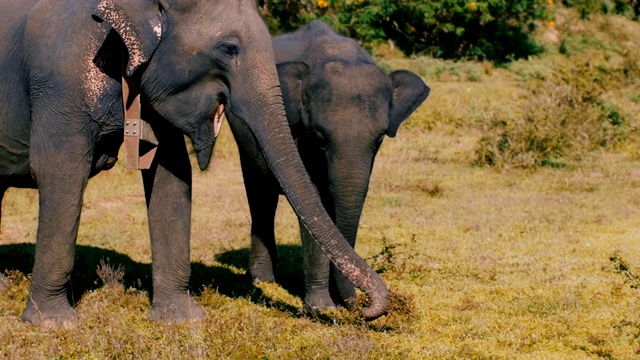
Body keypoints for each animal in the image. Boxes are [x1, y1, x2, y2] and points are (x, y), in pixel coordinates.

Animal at [0, 1, 390, 326]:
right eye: (229, 48)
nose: (363, 309)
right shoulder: (59, 78)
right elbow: (60, 169)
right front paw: (54, 324)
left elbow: (171, 175)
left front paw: (180, 320)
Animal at [230, 20, 430, 312]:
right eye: (318, 137)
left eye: (379, 139)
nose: (362, 305)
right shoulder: (297, 134)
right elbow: (314, 202)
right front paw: (322, 308)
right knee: (260, 194)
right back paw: (261, 279)